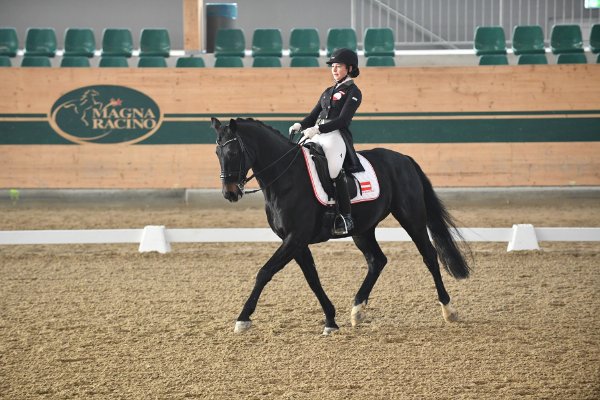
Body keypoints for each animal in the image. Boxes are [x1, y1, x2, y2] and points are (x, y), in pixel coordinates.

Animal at [213, 116, 472, 334]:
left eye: (233, 151)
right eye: (217, 151)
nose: (230, 193)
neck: (286, 178)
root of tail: (403, 159)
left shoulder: (295, 238)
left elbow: (265, 272)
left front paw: (243, 318)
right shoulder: (296, 241)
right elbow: (312, 279)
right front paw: (330, 320)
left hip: (412, 218)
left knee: (429, 256)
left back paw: (449, 311)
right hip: (362, 229)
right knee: (377, 260)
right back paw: (357, 311)